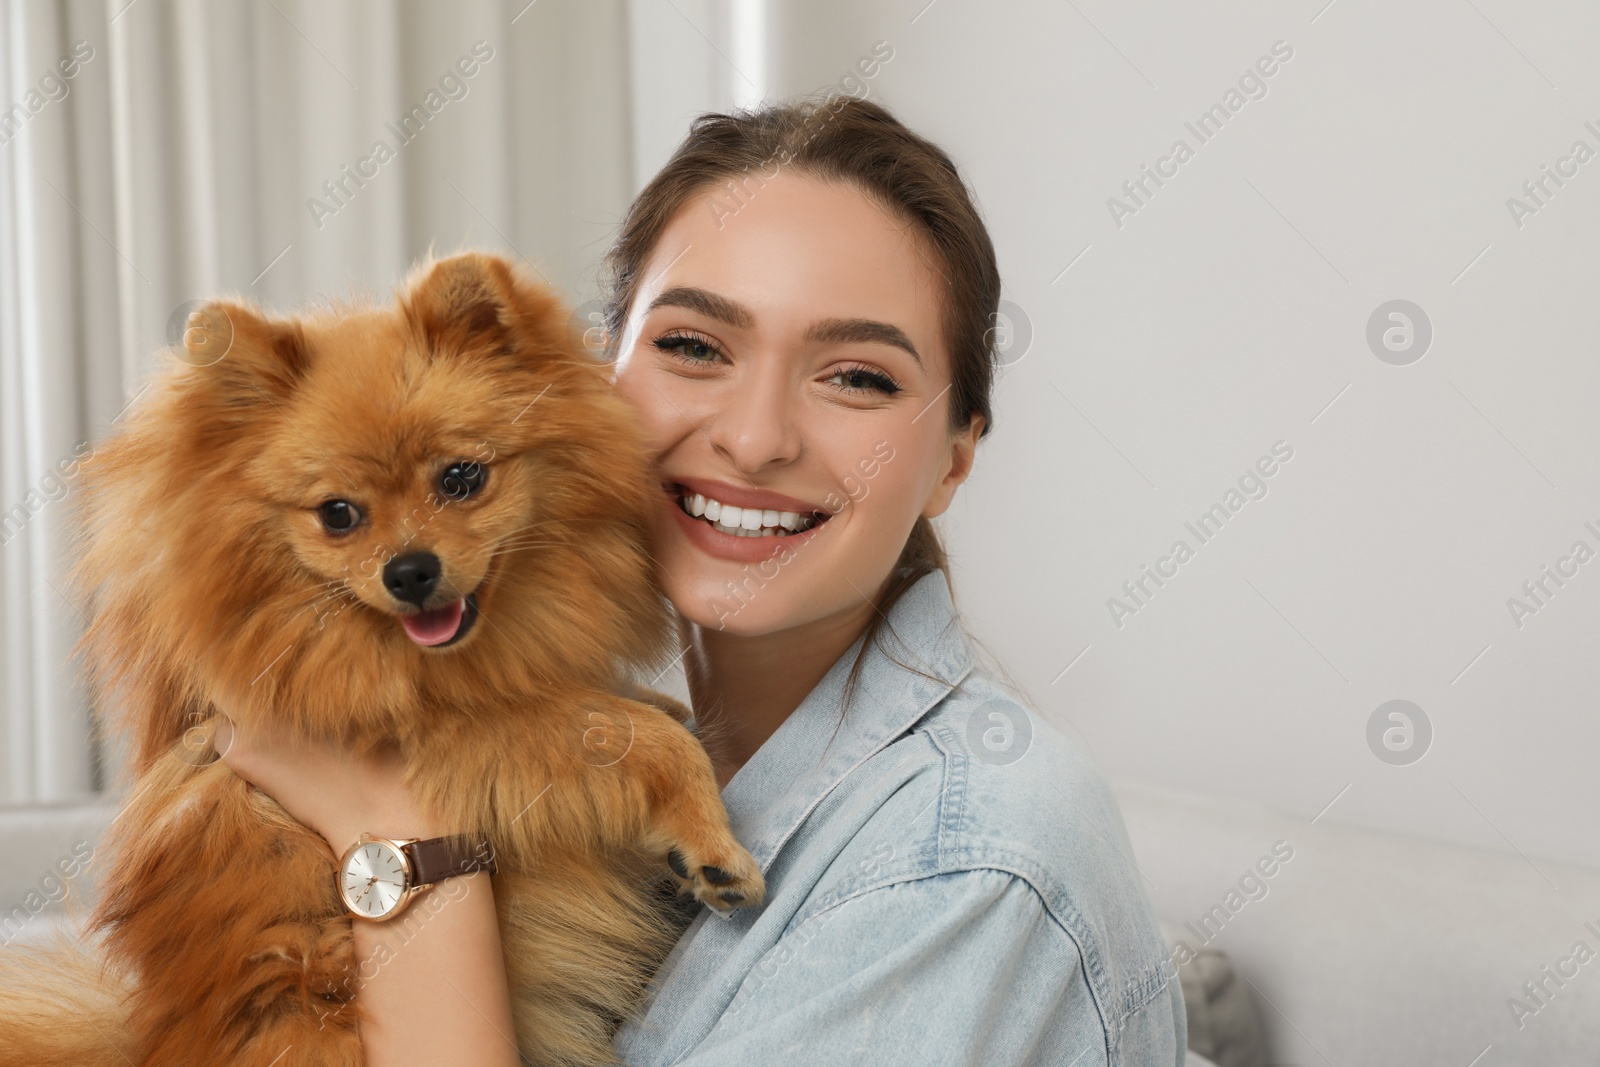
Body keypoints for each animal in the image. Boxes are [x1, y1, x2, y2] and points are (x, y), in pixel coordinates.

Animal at [0, 252, 761, 1067]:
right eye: (338, 514)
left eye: (460, 478)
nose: (409, 570)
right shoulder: (446, 730)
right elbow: (649, 735)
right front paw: (713, 842)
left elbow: (653, 710)